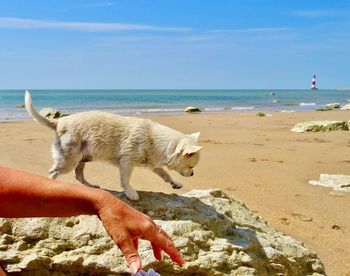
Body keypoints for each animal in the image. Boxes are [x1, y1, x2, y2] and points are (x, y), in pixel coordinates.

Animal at [24, 91, 202, 201]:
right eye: (192, 166)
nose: (193, 174)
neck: (155, 139)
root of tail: (59, 122)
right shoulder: (127, 162)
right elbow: (125, 179)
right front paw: (130, 192)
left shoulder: (153, 164)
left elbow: (165, 173)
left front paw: (175, 183)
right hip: (69, 159)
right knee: (53, 172)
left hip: (83, 158)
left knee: (78, 175)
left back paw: (92, 187)